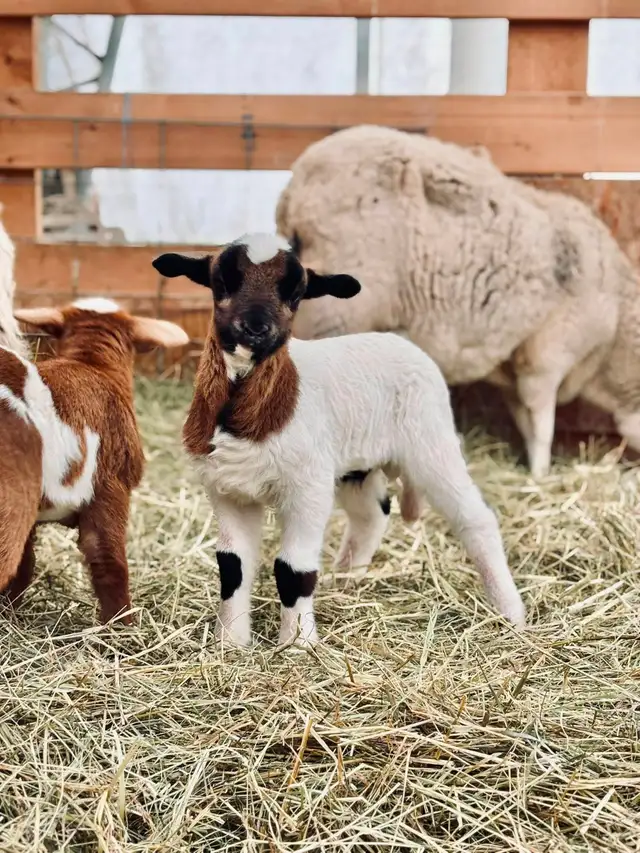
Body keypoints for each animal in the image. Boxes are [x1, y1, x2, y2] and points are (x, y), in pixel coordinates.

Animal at [0, 297, 189, 622]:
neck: (91, 362)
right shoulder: (110, 489)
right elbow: (109, 563)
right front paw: (122, 624)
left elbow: (25, 563)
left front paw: (10, 608)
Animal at [152, 233, 525, 649]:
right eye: (222, 281)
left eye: (296, 291)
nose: (256, 329)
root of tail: (404, 343)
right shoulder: (229, 491)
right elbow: (233, 567)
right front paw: (230, 643)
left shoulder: (308, 487)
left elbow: (292, 569)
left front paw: (298, 645)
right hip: (357, 463)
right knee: (372, 515)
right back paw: (345, 581)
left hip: (430, 441)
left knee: (476, 519)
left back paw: (512, 614)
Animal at [275, 125, 640, 478]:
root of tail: (295, 192)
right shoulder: (547, 353)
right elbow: (542, 424)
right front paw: (541, 475)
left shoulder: (516, 363)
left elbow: (524, 418)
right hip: (335, 312)